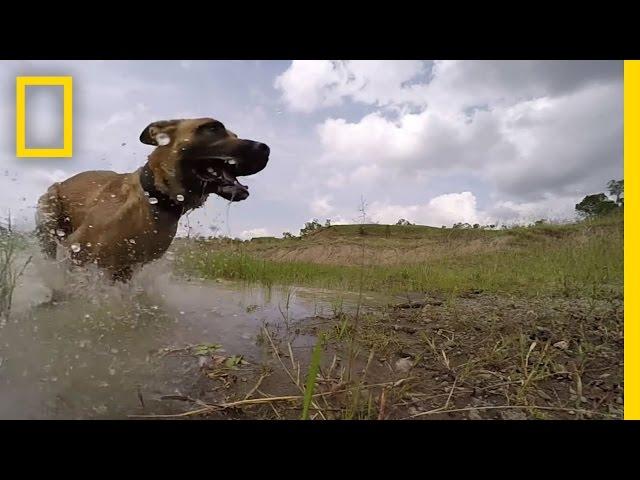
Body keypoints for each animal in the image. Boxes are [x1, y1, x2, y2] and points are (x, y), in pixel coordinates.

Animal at [35, 117, 270, 282]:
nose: (265, 148)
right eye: (213, 128)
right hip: (49, 215)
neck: (155, 201)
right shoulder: (77, 252)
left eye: (235, 134)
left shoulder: (126, 269)